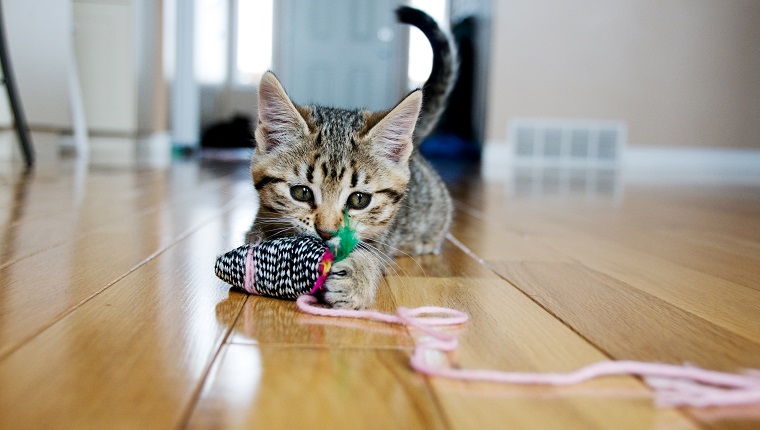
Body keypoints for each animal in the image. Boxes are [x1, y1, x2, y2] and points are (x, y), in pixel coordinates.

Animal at [246, 7, 454, 310]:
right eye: (301, 192)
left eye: (358, 200)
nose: (326, 233)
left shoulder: (382, 236)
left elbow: (372, 253)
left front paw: (356, 278)